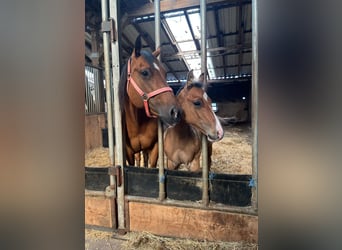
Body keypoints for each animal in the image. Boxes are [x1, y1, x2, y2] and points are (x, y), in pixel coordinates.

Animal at [118, 35, 180, 168]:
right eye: (144, 72)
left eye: (165, 74)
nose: (176, 112)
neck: (137, 123)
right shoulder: (128, 152)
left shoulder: (155, 148)